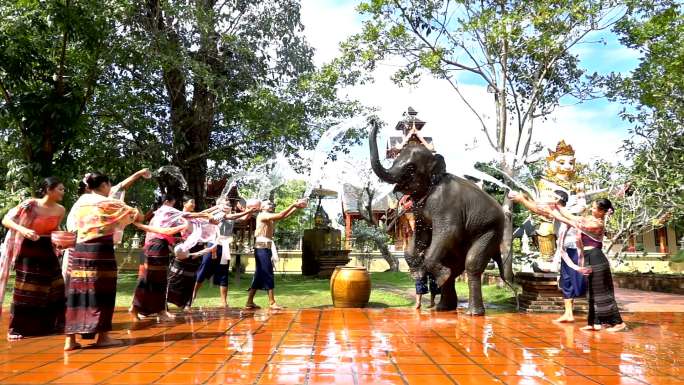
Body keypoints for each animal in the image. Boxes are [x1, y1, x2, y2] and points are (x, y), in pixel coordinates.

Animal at [368, 121, 508, 316]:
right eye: (394, 160)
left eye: (410, 168)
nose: (374, 121)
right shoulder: (419, 209)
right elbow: (421, 234)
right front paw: (418, 270)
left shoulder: (445, 203)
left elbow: (448, 232)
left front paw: (437, 274)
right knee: (456, 266)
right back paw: (443, 307)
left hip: (491, 229)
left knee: (472, 264)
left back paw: (473, 313)